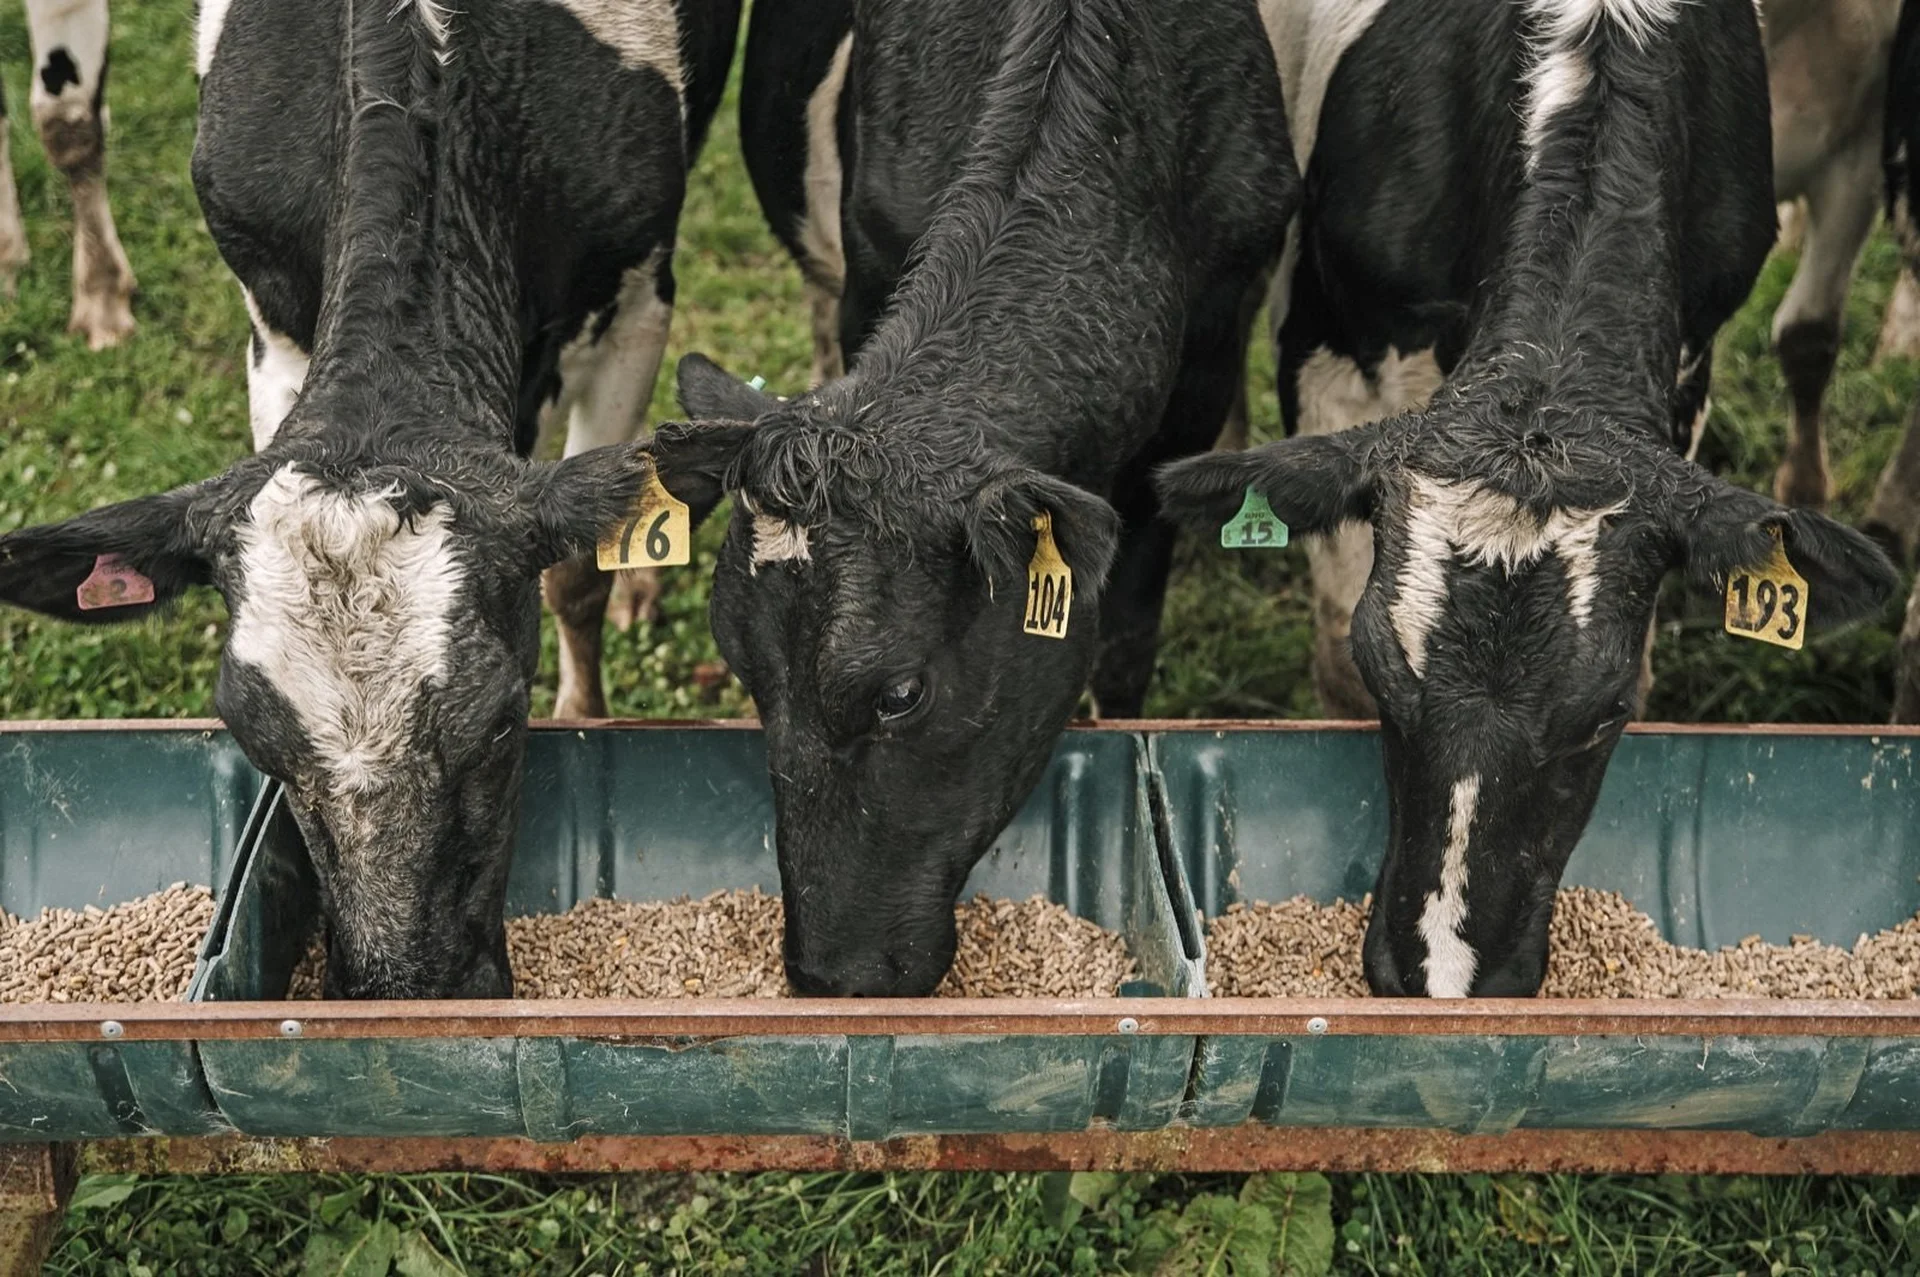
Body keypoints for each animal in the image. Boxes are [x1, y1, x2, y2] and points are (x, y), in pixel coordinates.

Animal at [671, 0, 1298, 996]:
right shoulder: (870, 262)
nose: (826, 973)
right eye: (744, 672)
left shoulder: (1205, 359)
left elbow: (1127, 641)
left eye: (900, 693)